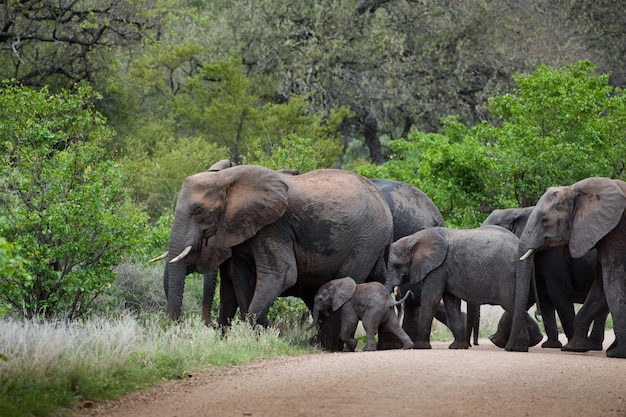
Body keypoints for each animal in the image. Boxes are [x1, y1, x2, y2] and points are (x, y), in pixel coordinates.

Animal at [382, 226, 540, 350]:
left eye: (396, 266)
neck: (414, 239)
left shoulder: (438, 268)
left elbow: (431, 298)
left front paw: (420, 347)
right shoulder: (445, 269)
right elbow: (451, 302)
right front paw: (457, 347)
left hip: (506, 274)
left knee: (511, 304)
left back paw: (517, 348)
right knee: (517, 305)